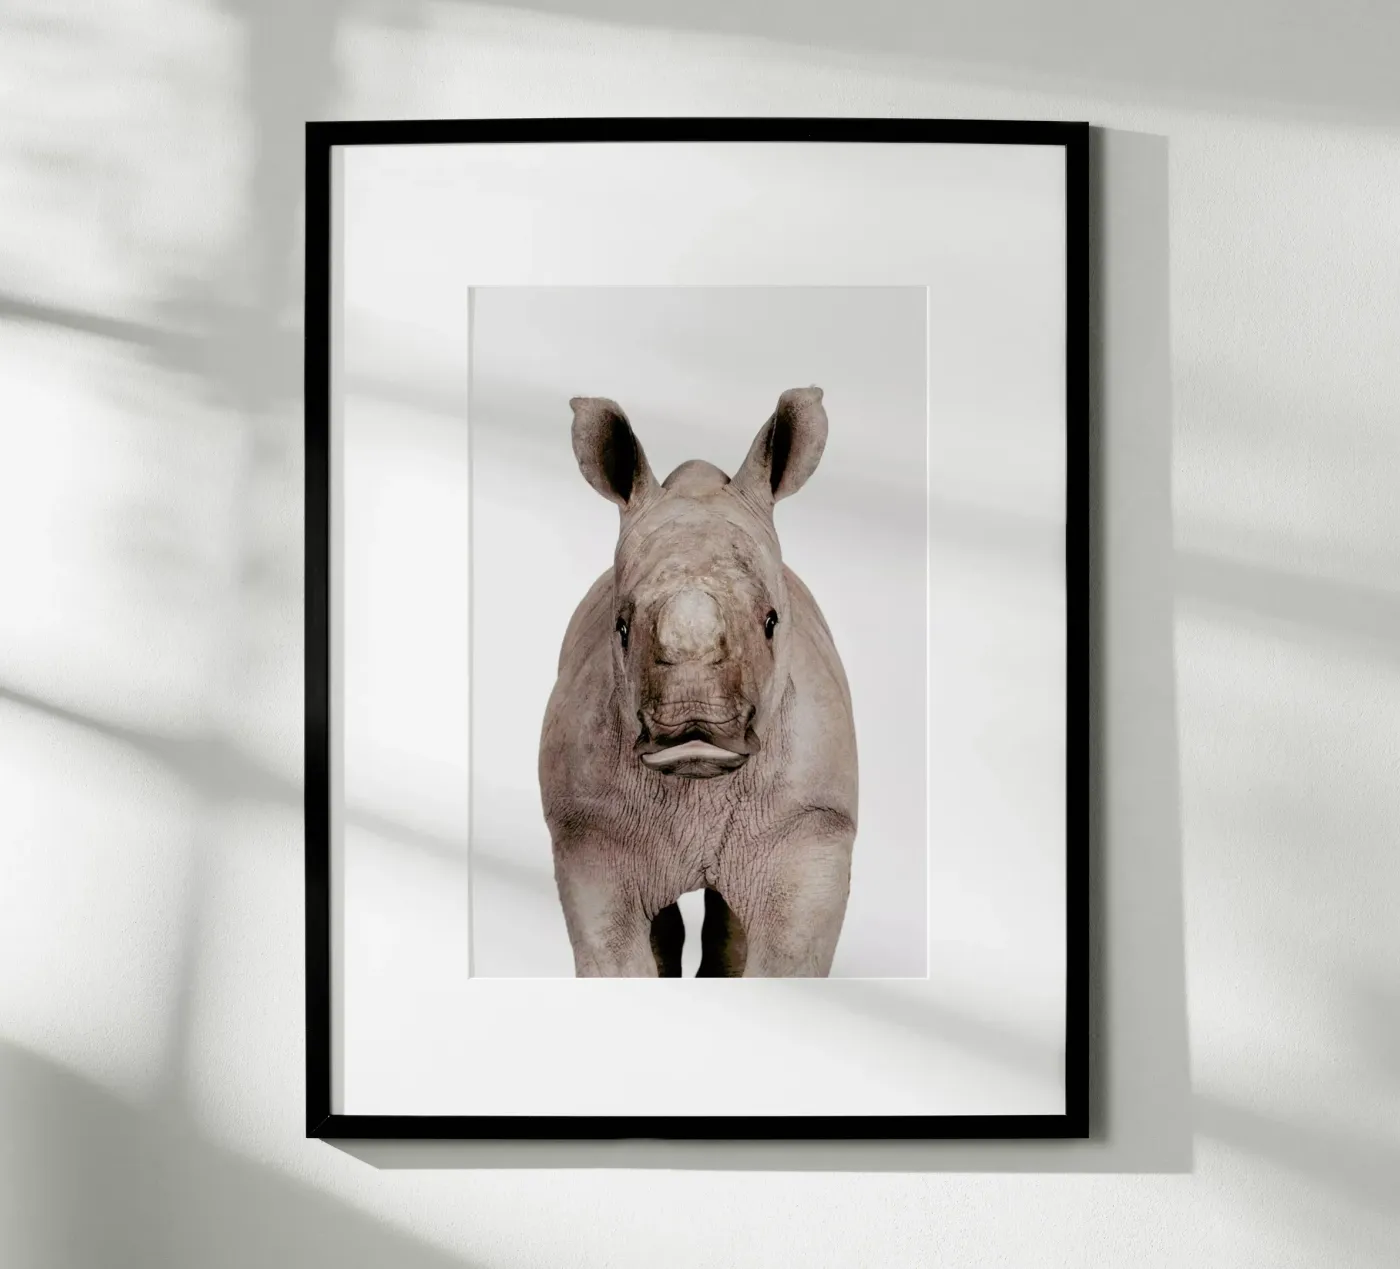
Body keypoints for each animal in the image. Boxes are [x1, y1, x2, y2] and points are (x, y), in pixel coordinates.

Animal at [539, 387, 858, 977]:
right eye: (620, 628)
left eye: (772, 621)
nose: (694, 728)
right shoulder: (588, 831)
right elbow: (614, 954)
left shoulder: (811, 827)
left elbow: (786, 957)